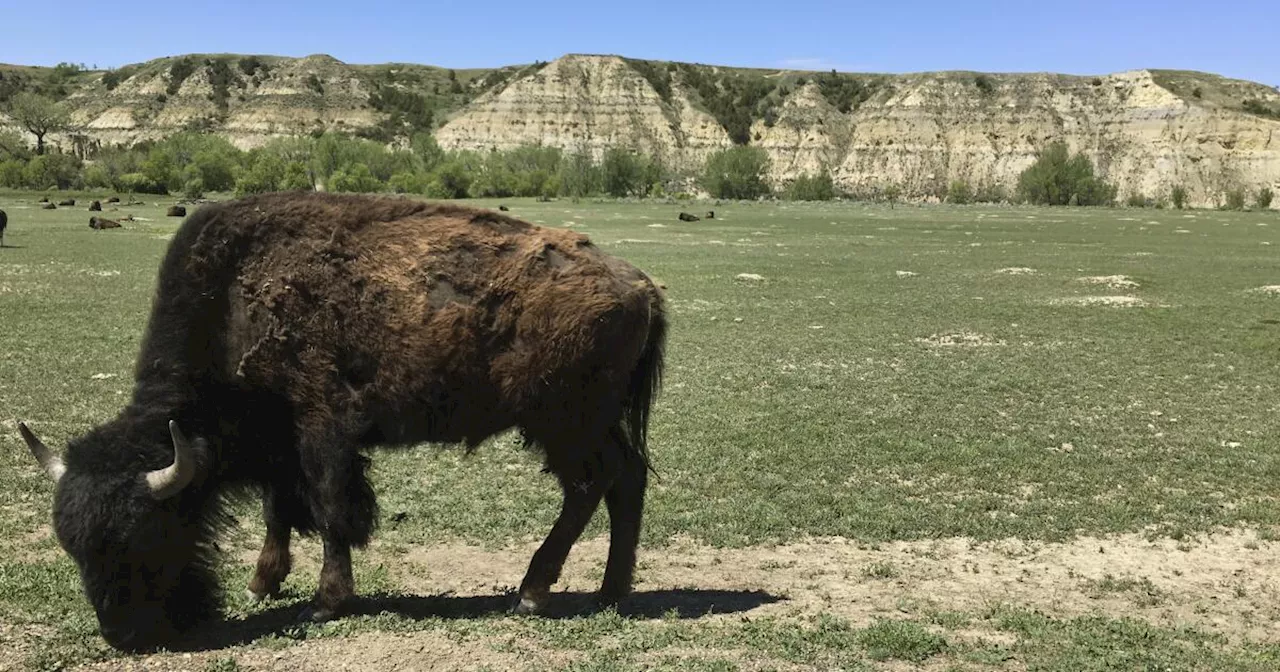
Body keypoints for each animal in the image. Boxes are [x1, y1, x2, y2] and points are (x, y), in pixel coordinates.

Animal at [20, 189, 670, 650]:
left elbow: (331, 511)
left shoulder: (322, 430)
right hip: (589, 422)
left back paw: (534, 593)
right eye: (73, 547)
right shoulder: (279, 442)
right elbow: (280, 510)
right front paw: (262, 583)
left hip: (563, 422)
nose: (123, 636)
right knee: (627, 479)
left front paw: (326, 602)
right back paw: (610, 593)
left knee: (590, 485)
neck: (232, 301)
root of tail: (641, 285)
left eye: (145, 533)